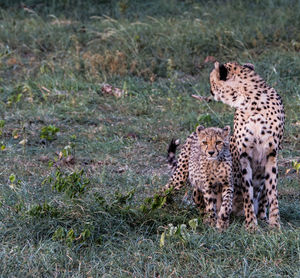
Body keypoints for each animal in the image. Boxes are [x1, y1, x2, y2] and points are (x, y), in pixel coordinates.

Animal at [210, 62, 284, 229]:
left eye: (212, 81)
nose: (210, 91)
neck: (252, 102)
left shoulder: (271, 154)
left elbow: (272, 192)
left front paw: (275, 224)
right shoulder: (243, 156)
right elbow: (247, 192)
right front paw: (251, 225)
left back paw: (262, 217)